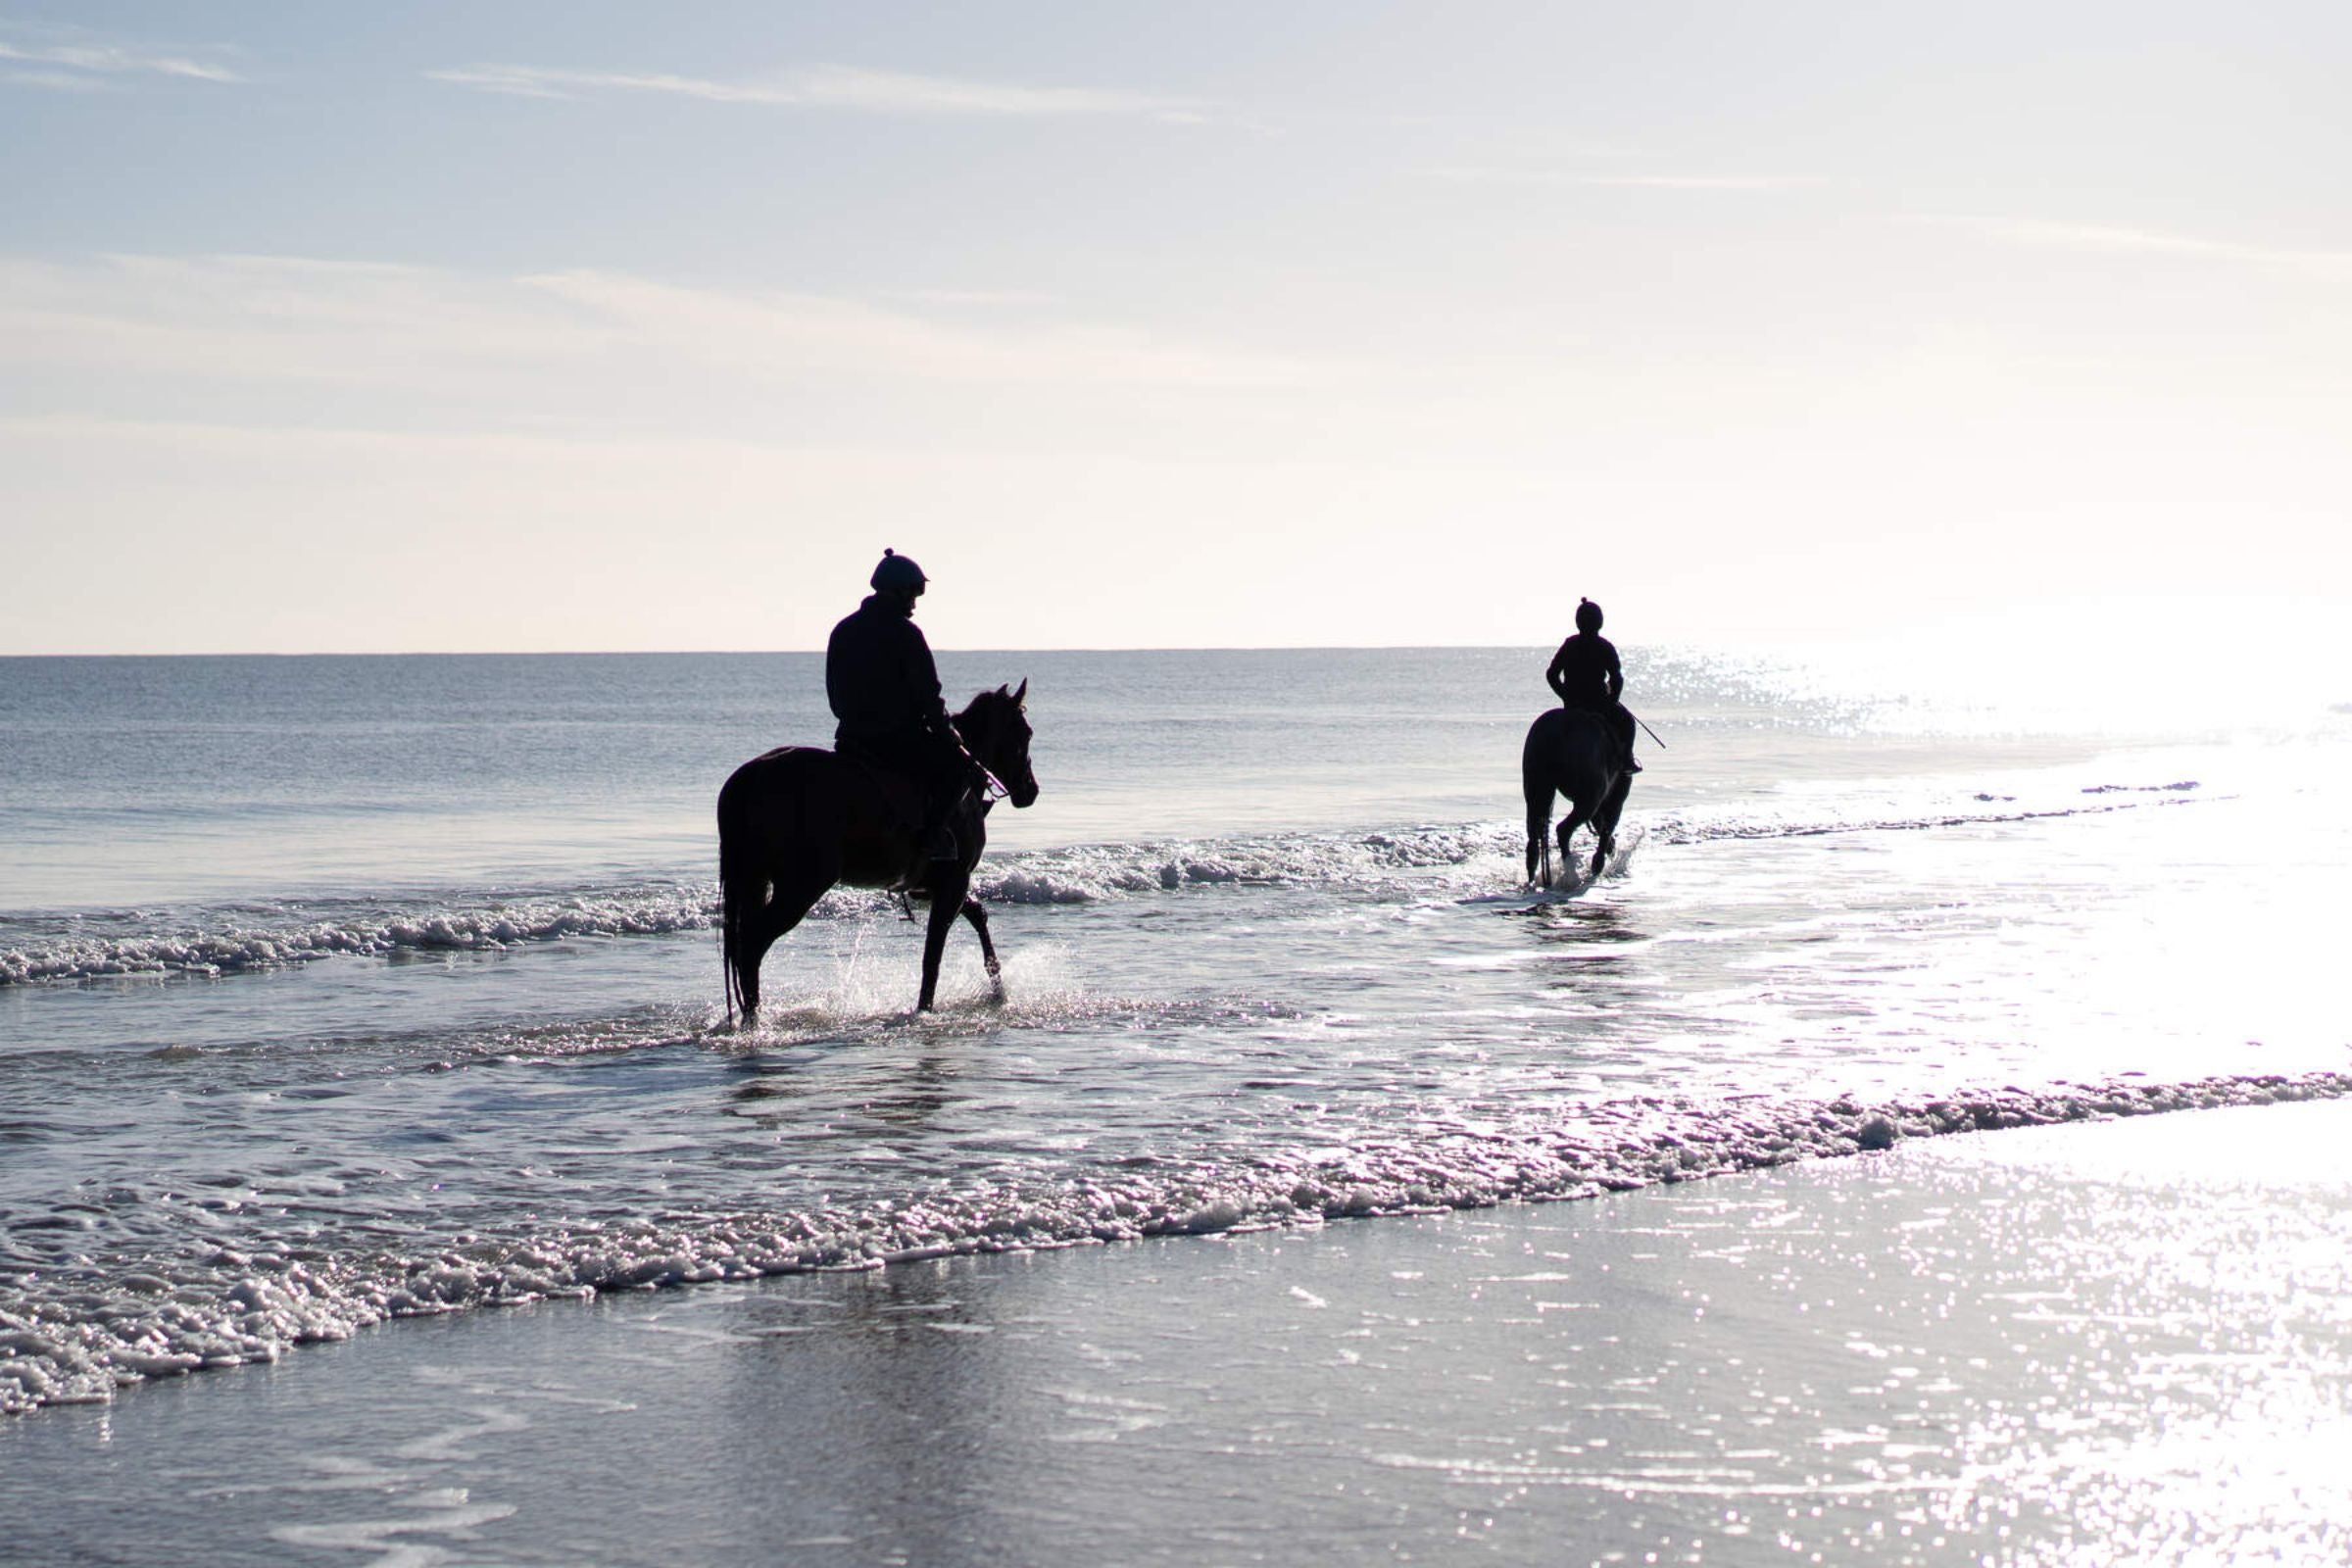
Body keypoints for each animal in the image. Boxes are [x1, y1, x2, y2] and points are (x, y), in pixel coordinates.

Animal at [714, 681, 1039, 1024]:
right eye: (1025, 733)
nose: (1031, 789)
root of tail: (751, 777)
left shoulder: (936, 886)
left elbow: (977, 915)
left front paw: (998, 988)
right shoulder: (955, 882)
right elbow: (933, 954)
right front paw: (925, 1009)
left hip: (756, 879)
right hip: (802, 886)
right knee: (753, 944)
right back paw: (754, 1019)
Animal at [1514, 710, 1627, 888]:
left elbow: (1601, 826)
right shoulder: (1614, 800)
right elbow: (1607, 828)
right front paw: (1600, 862)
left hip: (1536, 791)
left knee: (1533, 840)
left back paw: (1534, 879)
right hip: (1588, 800)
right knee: (1563, 829)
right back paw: (1571, 870)